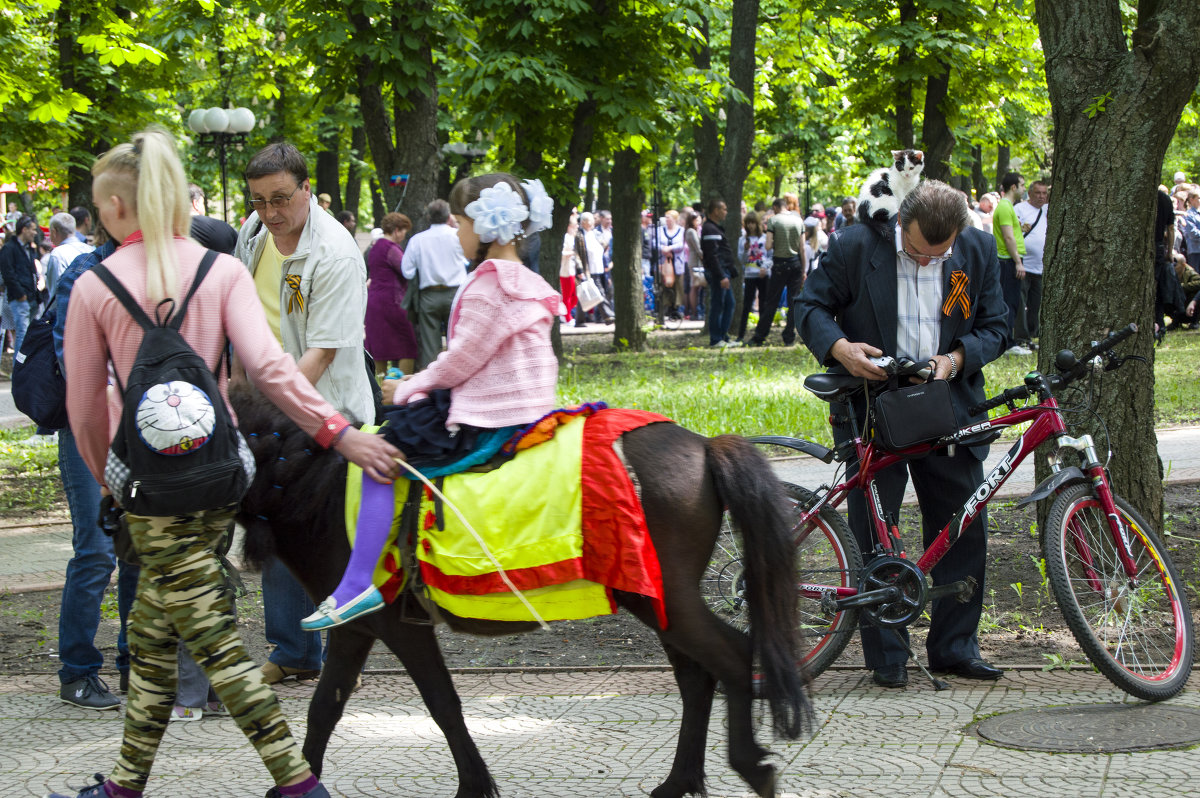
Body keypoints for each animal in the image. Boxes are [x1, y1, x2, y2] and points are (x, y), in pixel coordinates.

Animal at [229, 384, 811, 792]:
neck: (321, 491)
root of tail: (706, 446)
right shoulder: (357, 631)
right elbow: (326, 707)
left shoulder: (398, 628)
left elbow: (441, 703)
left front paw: (473, 786)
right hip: (656, 601)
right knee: (697, 677)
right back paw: (677, 784)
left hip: (666, 599)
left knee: (731, 656)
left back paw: (749, 766)